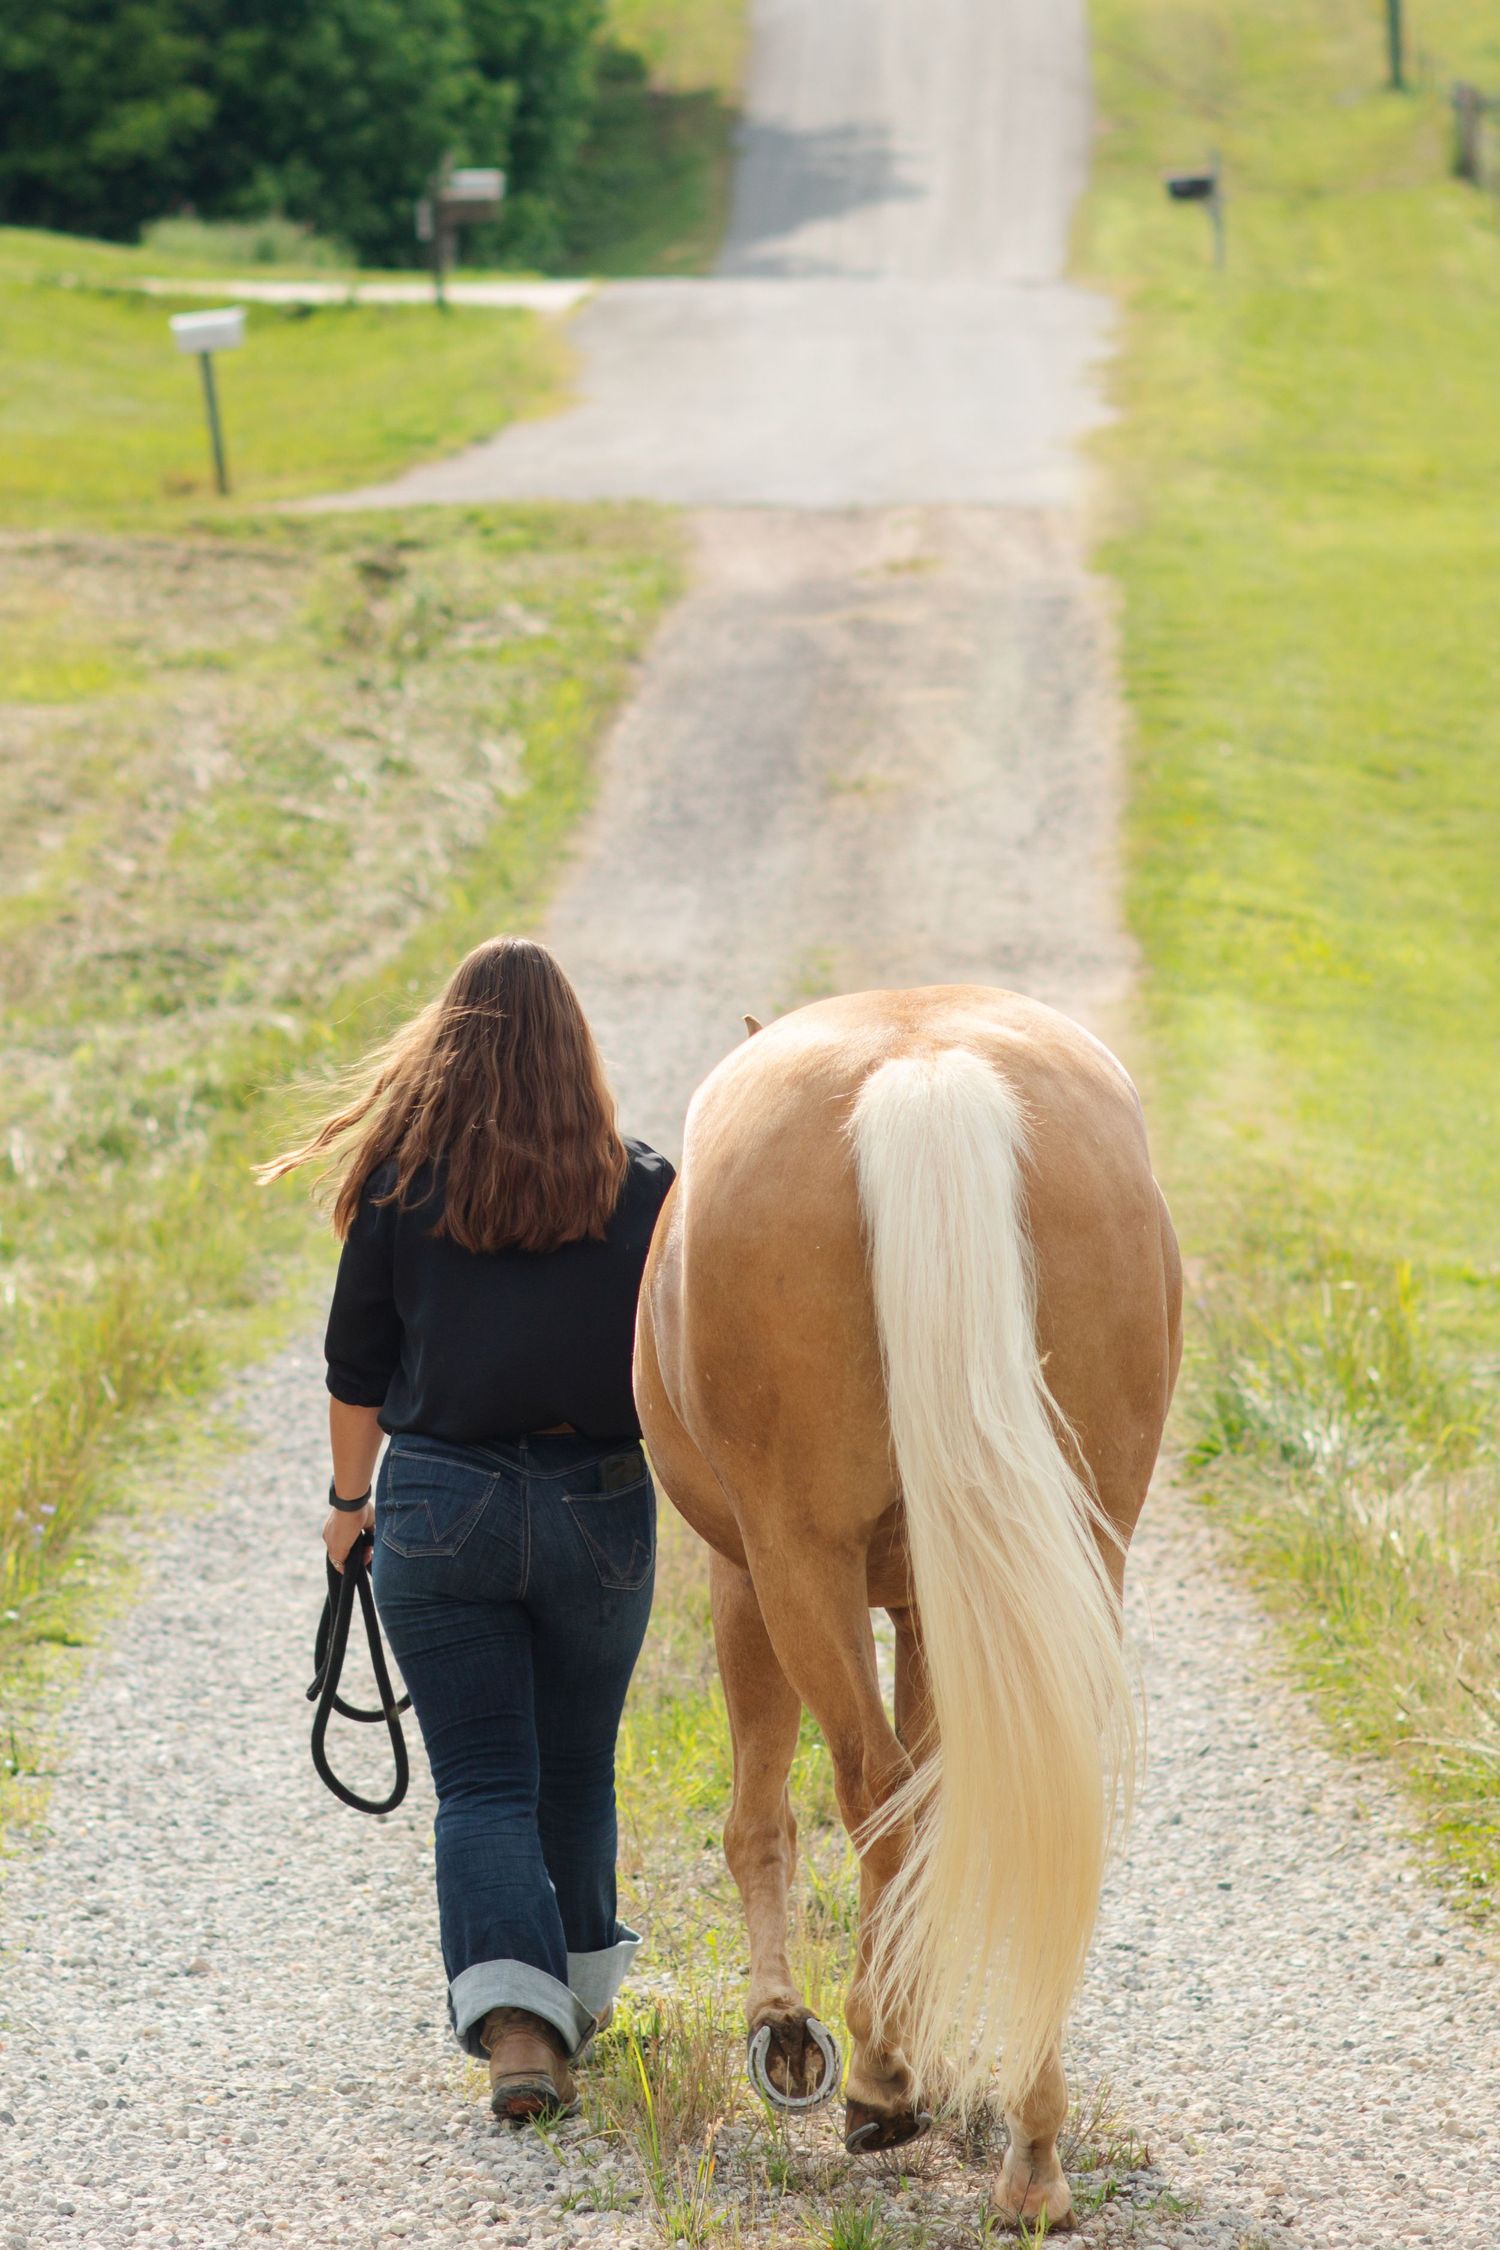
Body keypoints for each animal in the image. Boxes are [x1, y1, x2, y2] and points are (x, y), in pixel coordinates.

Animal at [633, 985, 1182, 2227]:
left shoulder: (744, 1577)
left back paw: (881, 2079)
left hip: (801, 1561)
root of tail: (927, 1069)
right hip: (1073, 1546)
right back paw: (1031, 2153)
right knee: (1031, 1794)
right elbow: (941, 1800)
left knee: (870, 1789)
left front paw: (787, 2031)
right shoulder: (940, 1606)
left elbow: (763, 1814)